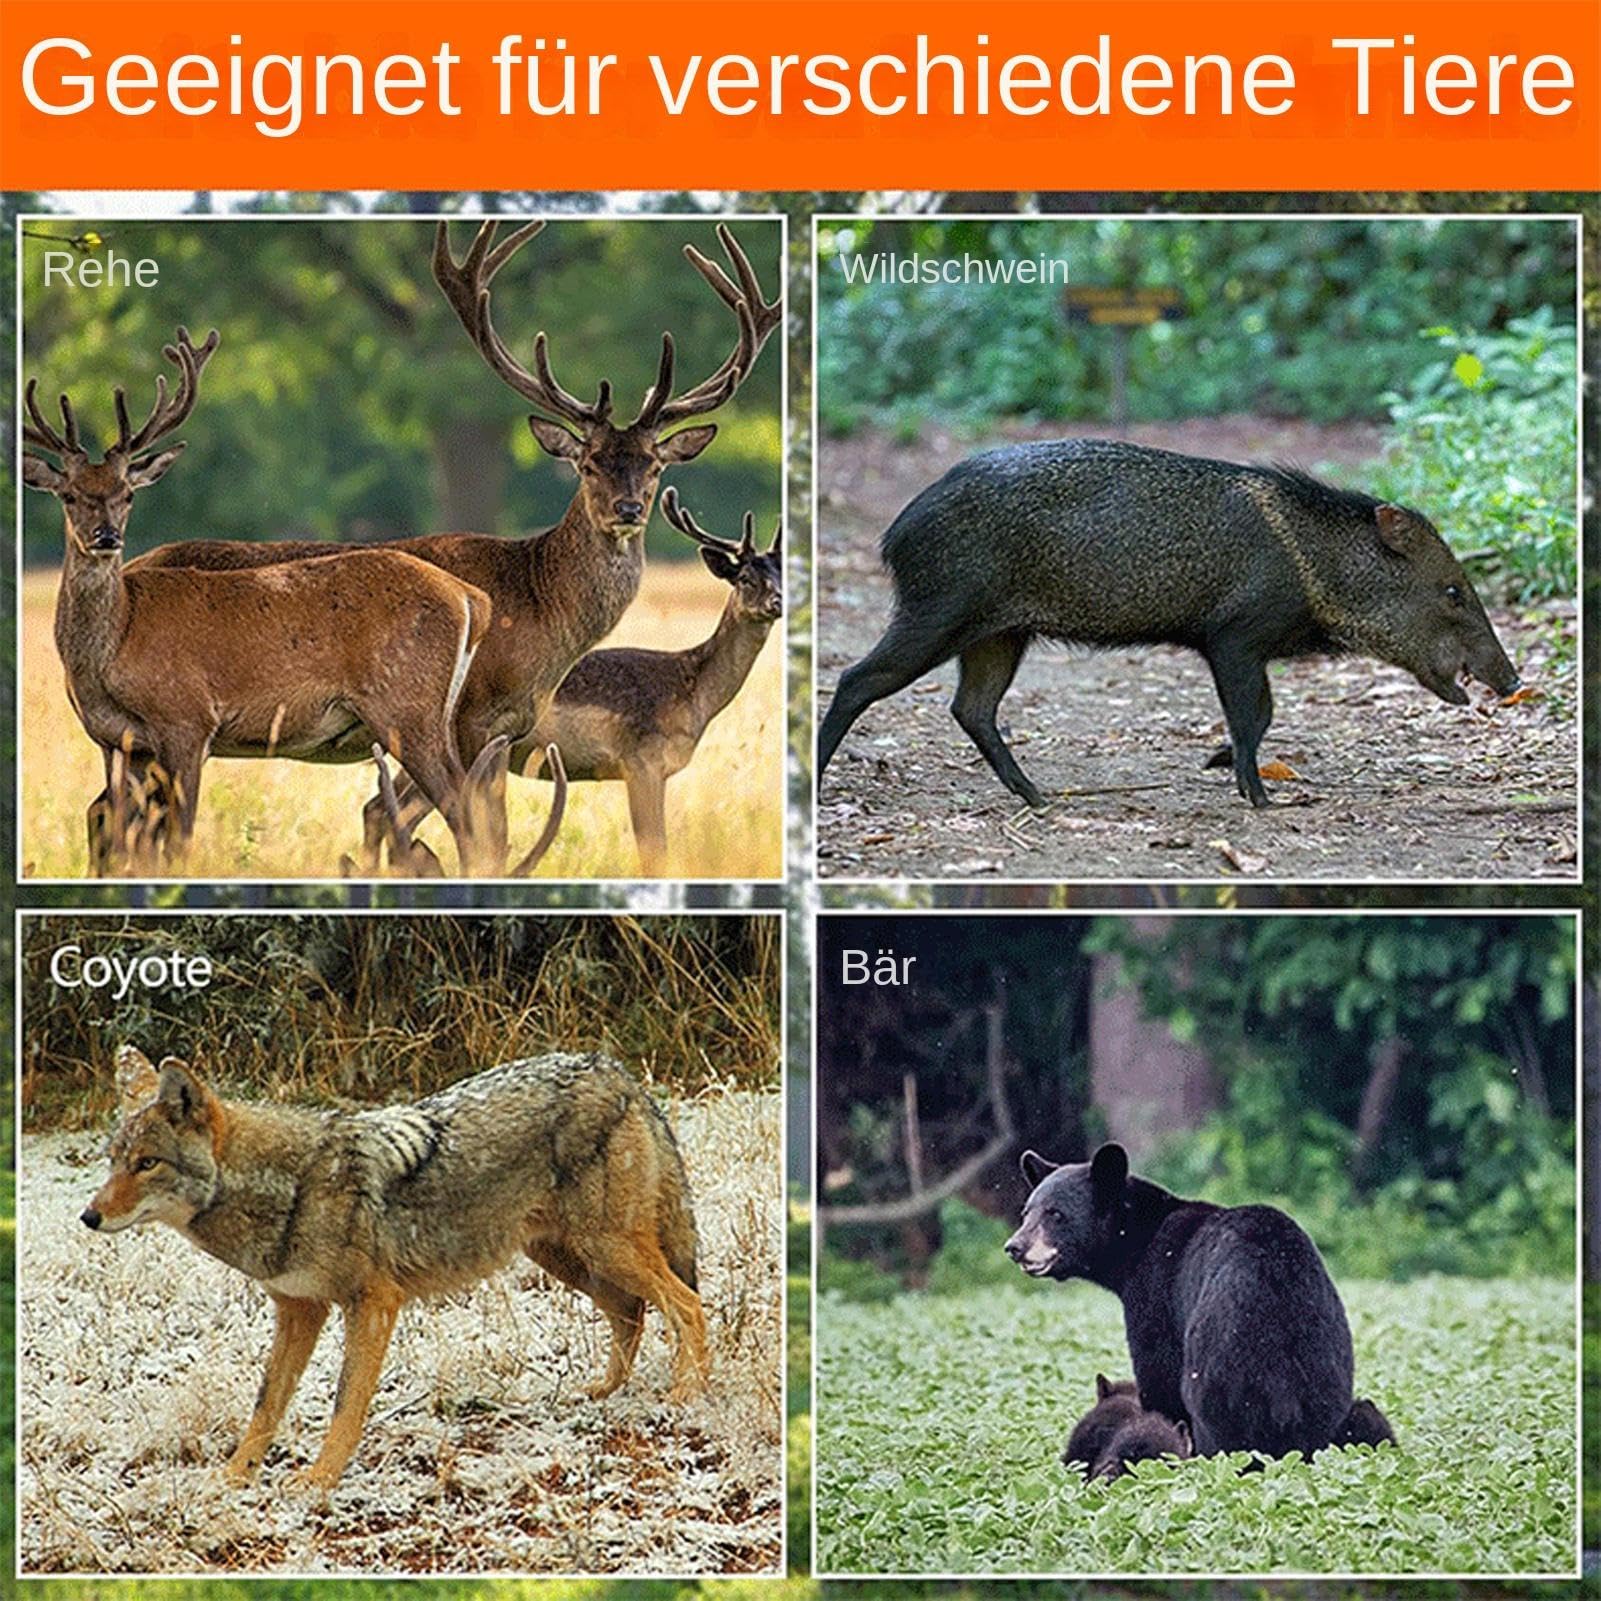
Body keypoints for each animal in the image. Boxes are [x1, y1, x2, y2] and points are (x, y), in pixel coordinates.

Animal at [22, 326, 565, 878]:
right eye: (68, 494)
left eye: (128, 493)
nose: (106, 536)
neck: (117, 643)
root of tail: (469, 597)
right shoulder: (118, 742)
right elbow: (120, 839)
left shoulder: (187, 720)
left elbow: (178, 841)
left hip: (408, 708)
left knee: (467, 814)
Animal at [527, 487, 782, 875]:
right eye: (744, 578)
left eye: (784, 576)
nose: (777, 602)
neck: (693, 696)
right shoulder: (641, 763)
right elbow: (654, 851)